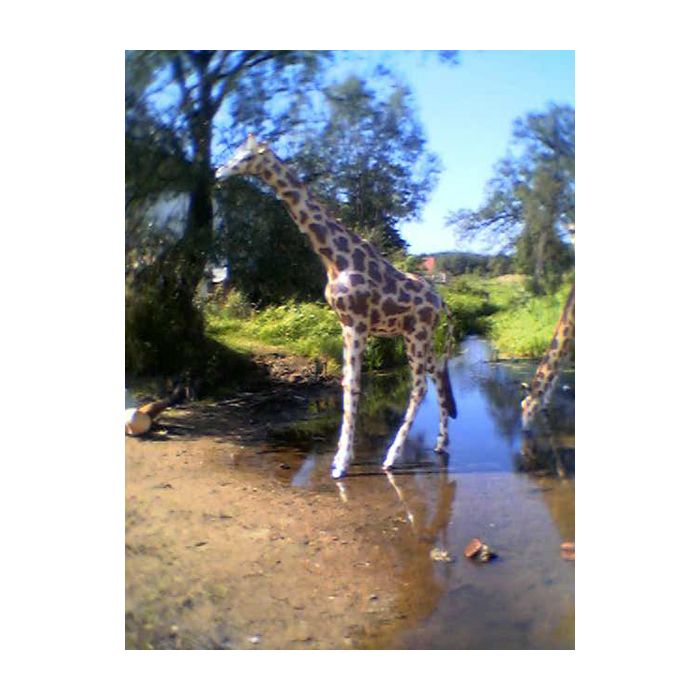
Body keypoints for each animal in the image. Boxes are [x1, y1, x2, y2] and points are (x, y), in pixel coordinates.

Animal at [215, 134, 457, 479]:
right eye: (236, 152)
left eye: (247, 157)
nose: (218, 171)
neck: (334, 258)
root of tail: (441, 300)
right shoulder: (344, 323)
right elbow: (345, 385)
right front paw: (340, 456)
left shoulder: (357, 322)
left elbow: (353, 385)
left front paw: (342, 463)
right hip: (416, 335)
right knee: (437, 373)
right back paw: (440, 444)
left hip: (417, 334)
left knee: (419, 386)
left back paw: (391, 457)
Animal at [521, 282, 575, 431]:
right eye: (522, 405)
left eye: (533, 409)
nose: (524, 429)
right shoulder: (566, 356)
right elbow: (554, 379)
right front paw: (546, 404)